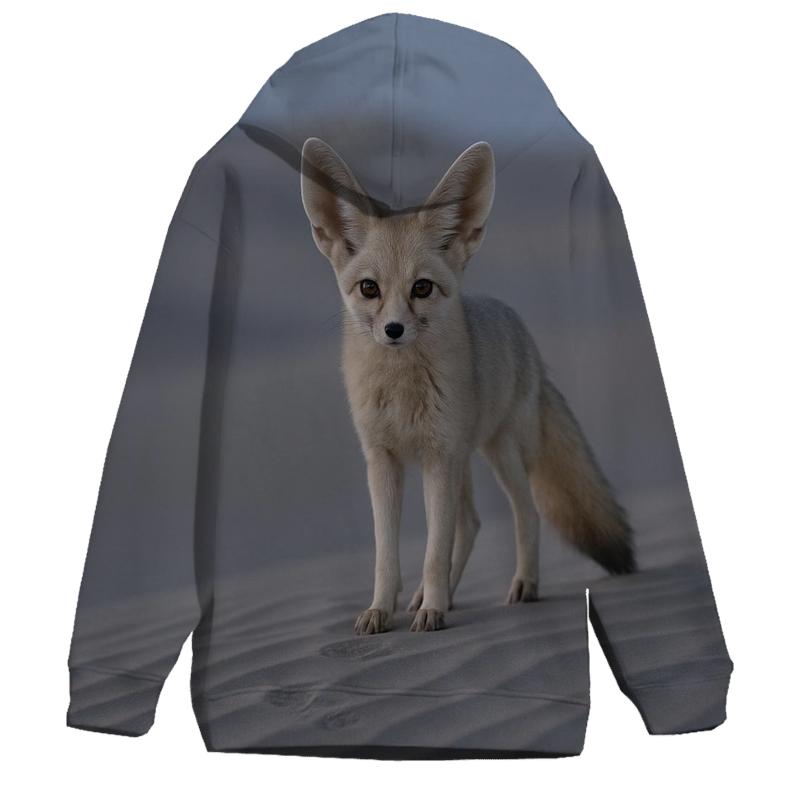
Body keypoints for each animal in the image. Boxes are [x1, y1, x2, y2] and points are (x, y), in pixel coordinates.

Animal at [299, 136, 636, 635]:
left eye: (421, 288)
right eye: (369, 289)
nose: (393, 330)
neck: (401, 391)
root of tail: (520, 331)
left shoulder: (439, 458)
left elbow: (434, 551)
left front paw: (432, 611)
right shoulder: (384, 461)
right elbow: (386, 554)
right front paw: (382, 609)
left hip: (496, 453)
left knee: (524, 512)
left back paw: (520, 586)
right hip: (462, 462)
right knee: (472, 524)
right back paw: (434, 596)